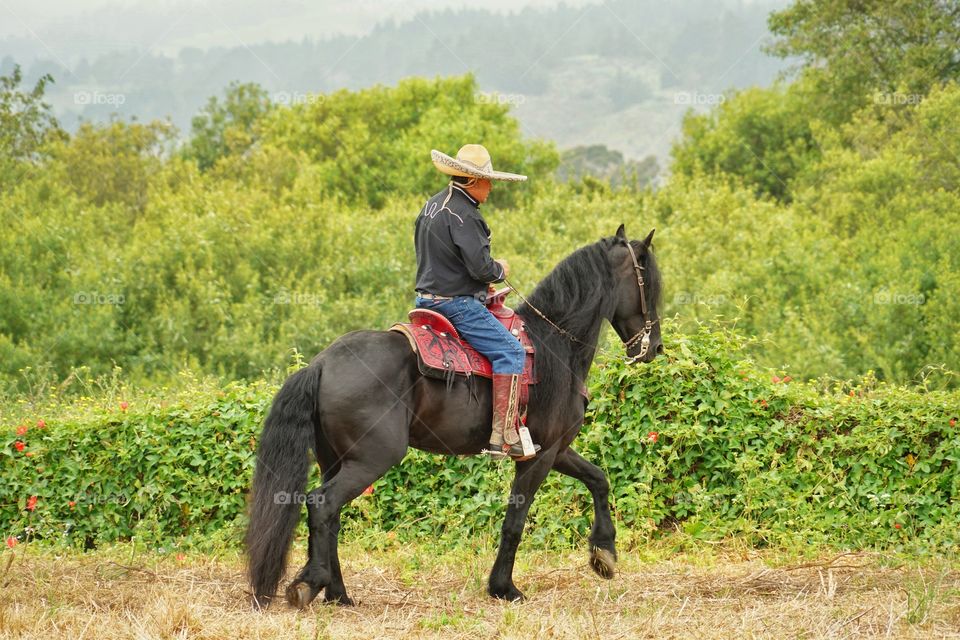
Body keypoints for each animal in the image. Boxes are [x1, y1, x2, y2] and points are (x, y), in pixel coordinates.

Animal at [246, 225, 660, 608]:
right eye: (650, 284)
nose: (653, 347)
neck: (553, 346)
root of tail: (320, 364)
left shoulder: (555, 449)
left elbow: (599, 479)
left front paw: (604, 554)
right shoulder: (538, 456)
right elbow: (515, 521)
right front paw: (504, 588)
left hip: (335, 458)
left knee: (329, 515)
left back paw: (339, 594)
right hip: (371, 458)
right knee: (323, 505)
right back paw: (310, 584)